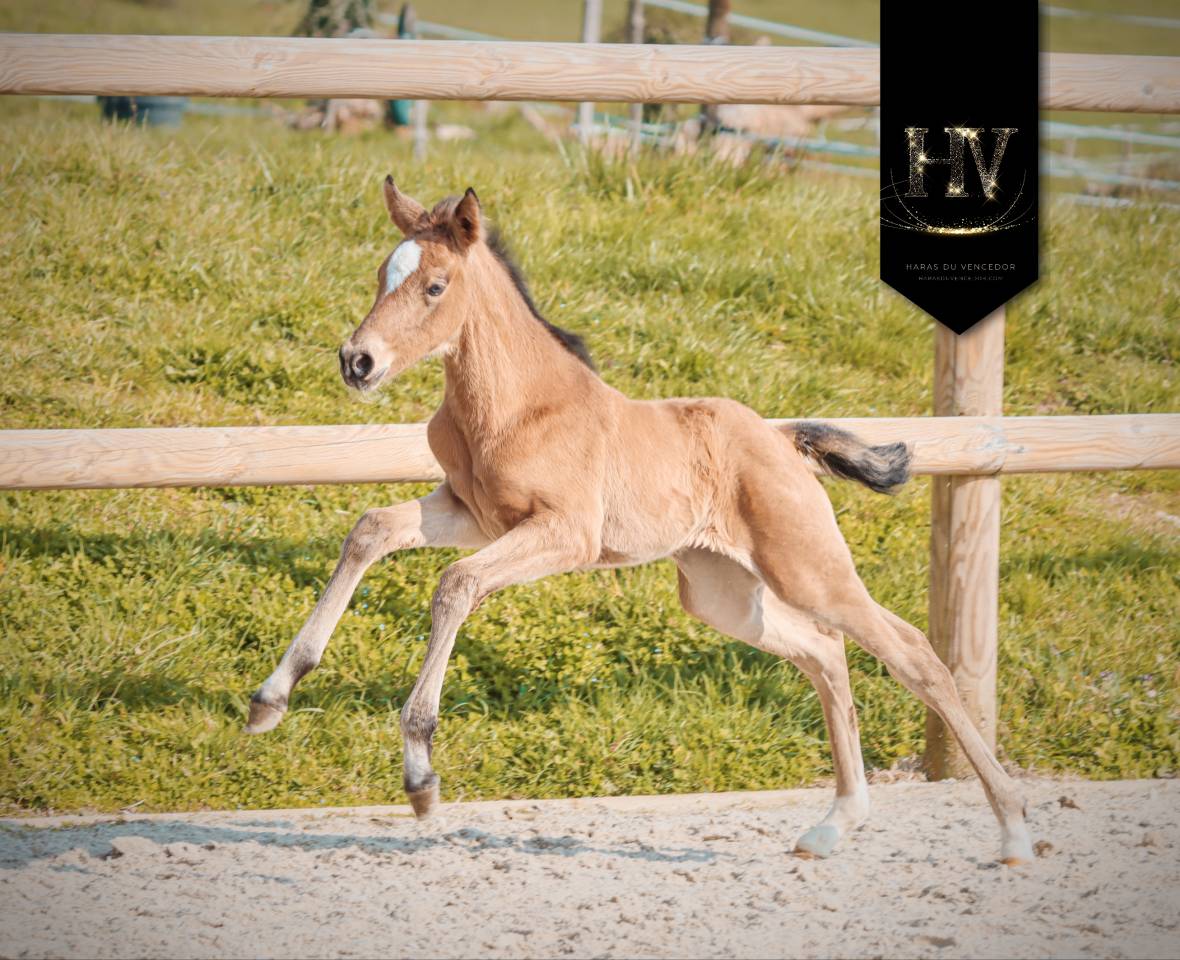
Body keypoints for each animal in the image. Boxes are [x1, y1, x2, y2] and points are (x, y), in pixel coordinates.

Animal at [245, 177, 1035, 865]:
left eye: (434, 286)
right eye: (383, 274)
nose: (357, 361)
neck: (516, 404)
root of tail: (782, 439)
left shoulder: (563, 534)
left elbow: (455, 586)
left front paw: (420, 777)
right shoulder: (471, 512)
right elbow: (371, 529)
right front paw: (270, 700)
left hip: (809, 568)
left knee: (912, 653)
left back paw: (1013, 830)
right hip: (722, 594)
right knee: (824, 654)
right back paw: (834, 824)